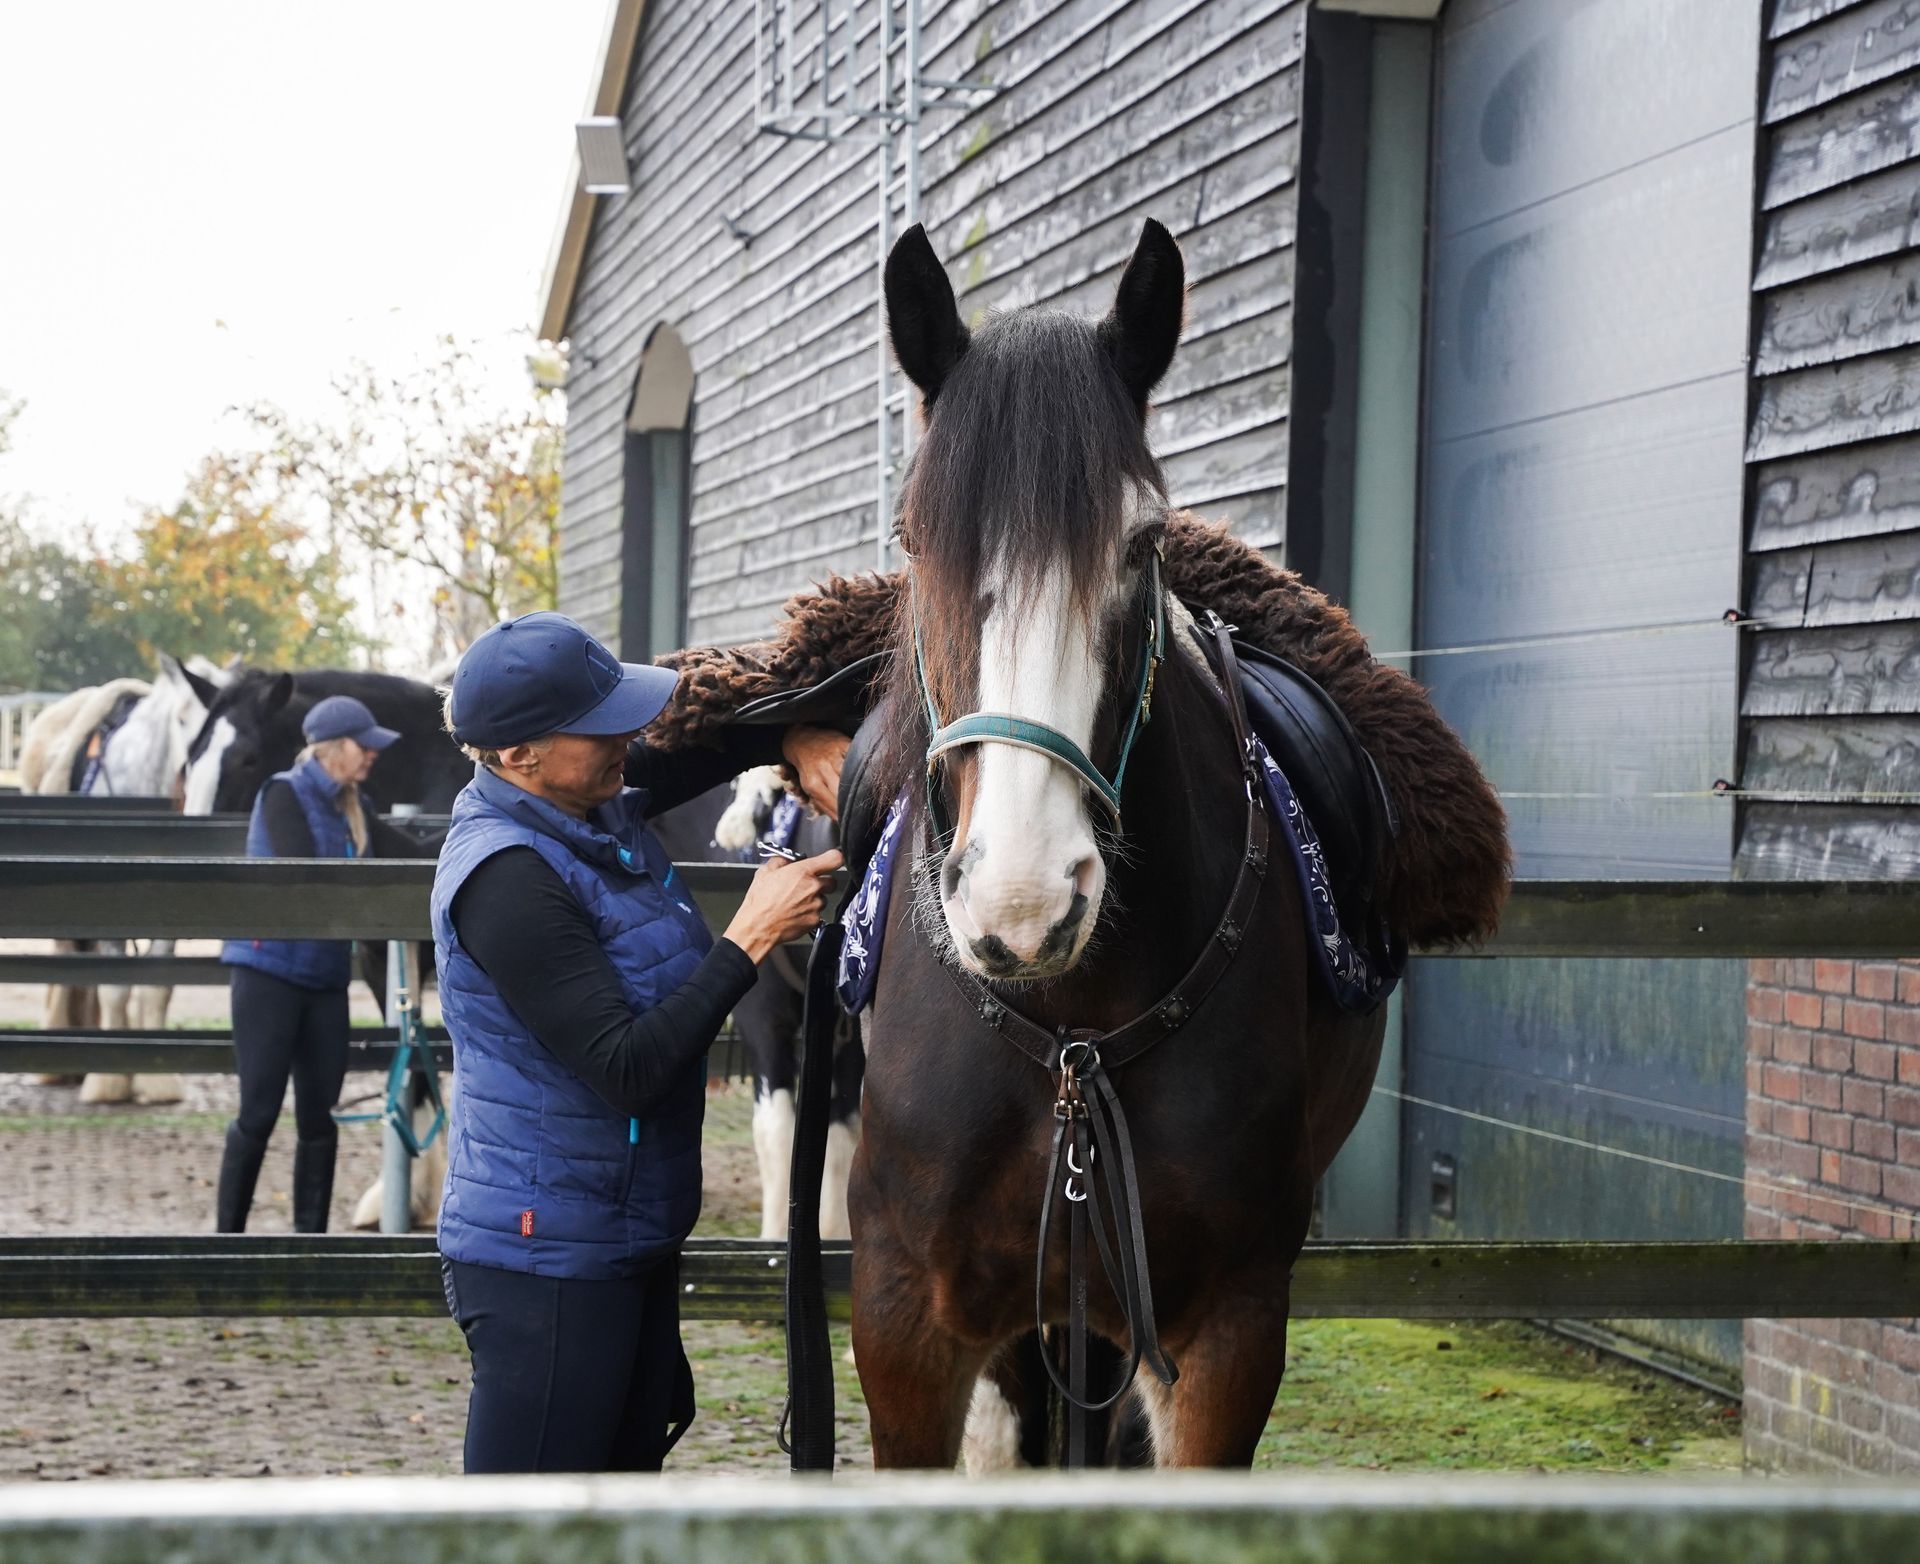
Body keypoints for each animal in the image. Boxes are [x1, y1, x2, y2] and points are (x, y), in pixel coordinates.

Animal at [843, 220, 1395, 1470]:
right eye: (912, 534)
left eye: (1143, 543)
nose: (1022, 905)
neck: (1075, 1034)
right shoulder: (906, 1329)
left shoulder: (1228, 1331)